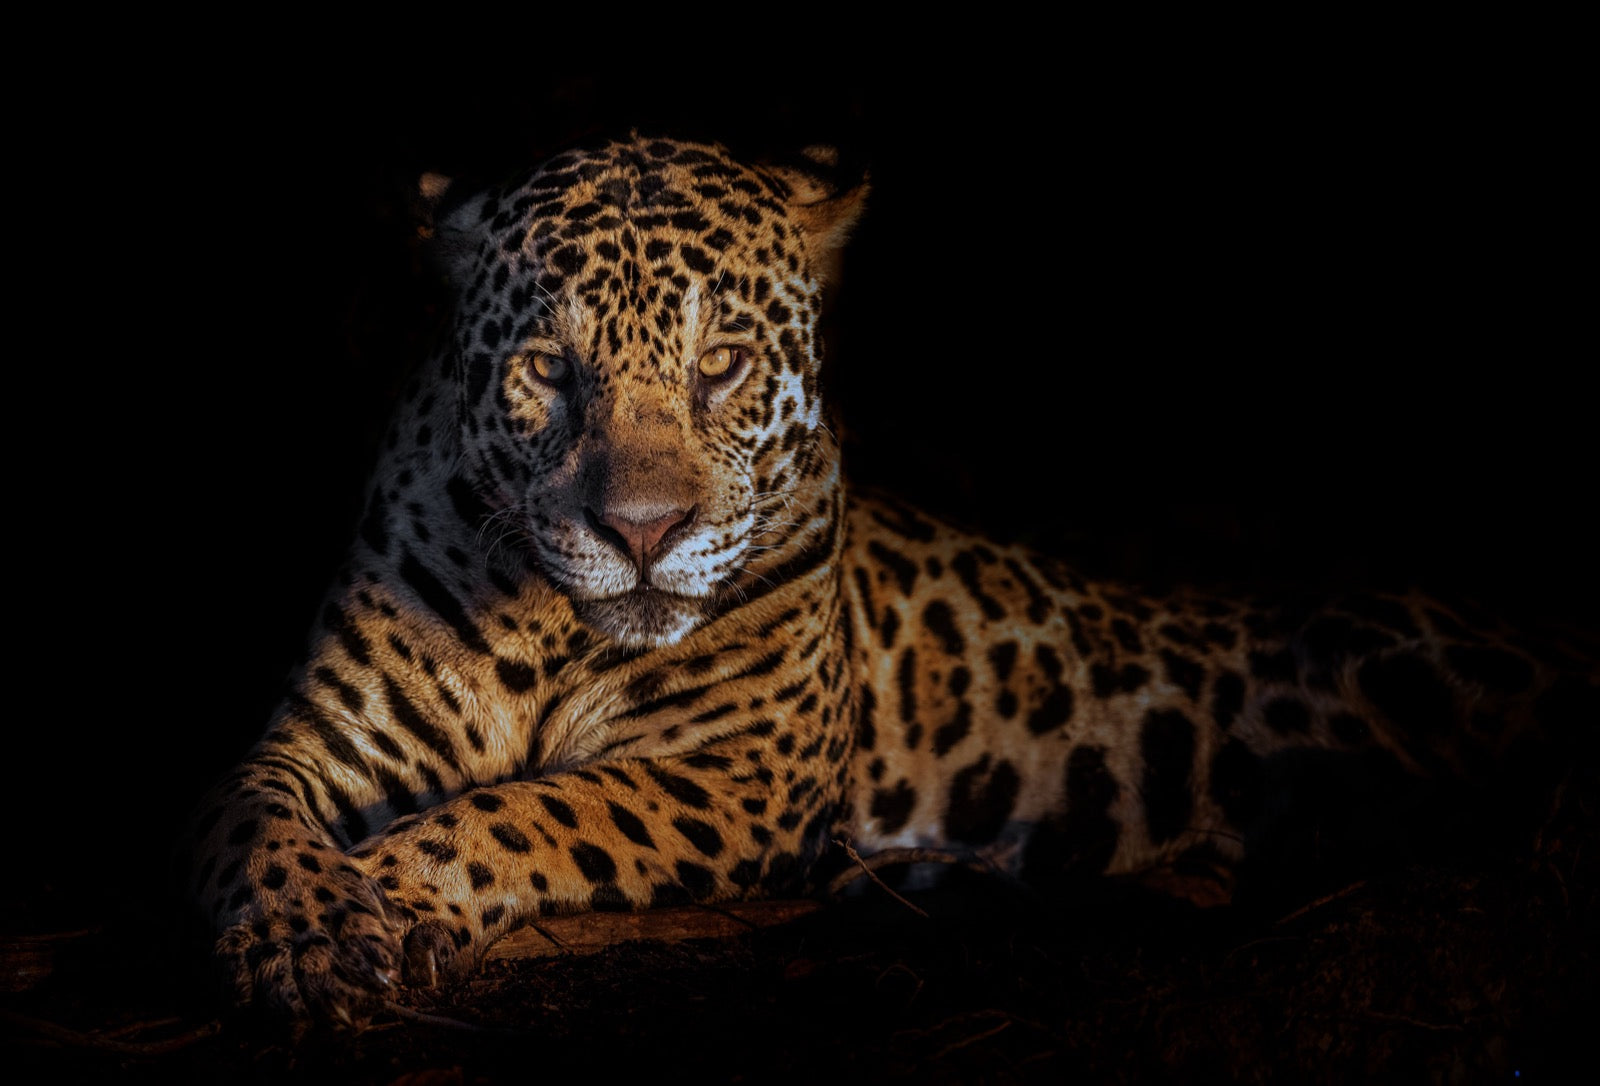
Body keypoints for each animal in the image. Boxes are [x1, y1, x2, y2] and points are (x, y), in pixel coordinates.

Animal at [185, 133, 1597, 1028]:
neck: (545, 623)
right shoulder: (318, 738)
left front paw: (398, 887)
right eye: (548, 369)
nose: (641, 531)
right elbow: (246, 818)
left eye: (721, 363)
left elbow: (536, 808)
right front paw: (314, 931)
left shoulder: (735, 772)